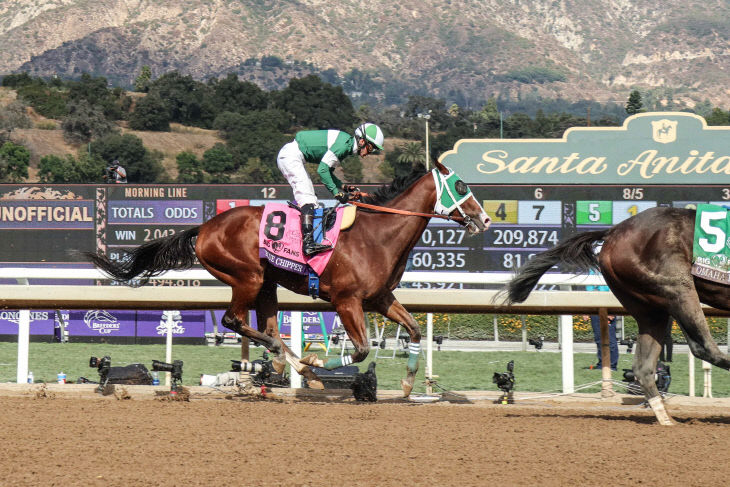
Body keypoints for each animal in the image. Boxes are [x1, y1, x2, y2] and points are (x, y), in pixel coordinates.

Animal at [89, 163, 490, 396]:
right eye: (460, 185)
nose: (485, 219)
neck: (378, 234)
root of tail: (204, 227)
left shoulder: (380, 299)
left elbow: (414, 330)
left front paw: (408, 384)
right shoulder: (346, 300)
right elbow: (361, 349)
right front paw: (317, 365)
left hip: (267, 283)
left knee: (266, 326)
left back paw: (285, 364)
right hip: (247, 277)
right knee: (235, 320)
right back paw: (290, 363)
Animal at [504, 207, 728, 428]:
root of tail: (613, 232)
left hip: (650, 309)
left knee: (644, 367)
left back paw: (666, 419)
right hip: (677, 287)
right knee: (702, 346)